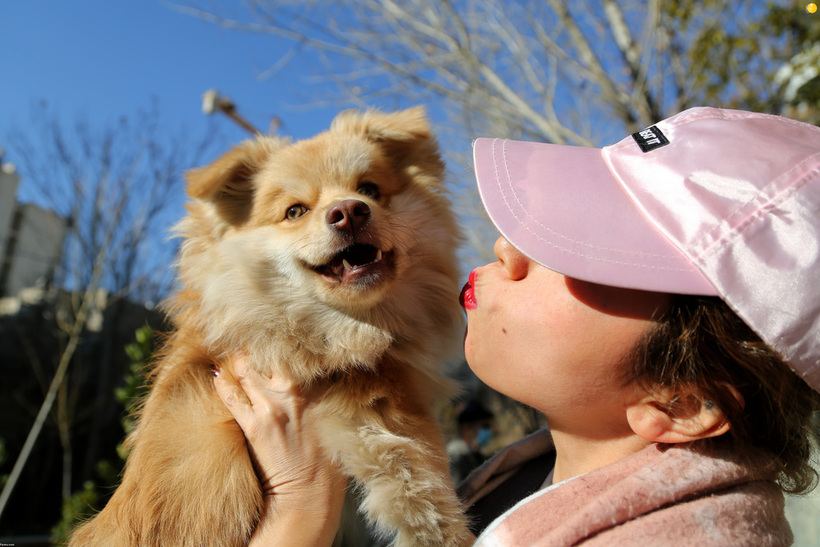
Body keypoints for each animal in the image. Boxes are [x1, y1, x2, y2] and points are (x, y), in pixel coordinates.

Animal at [69, 107, 474, 547]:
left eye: (369, 189)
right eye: (295, 211)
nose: (349, 210)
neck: (344, 326)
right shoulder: (378, 403)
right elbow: (421, 481)